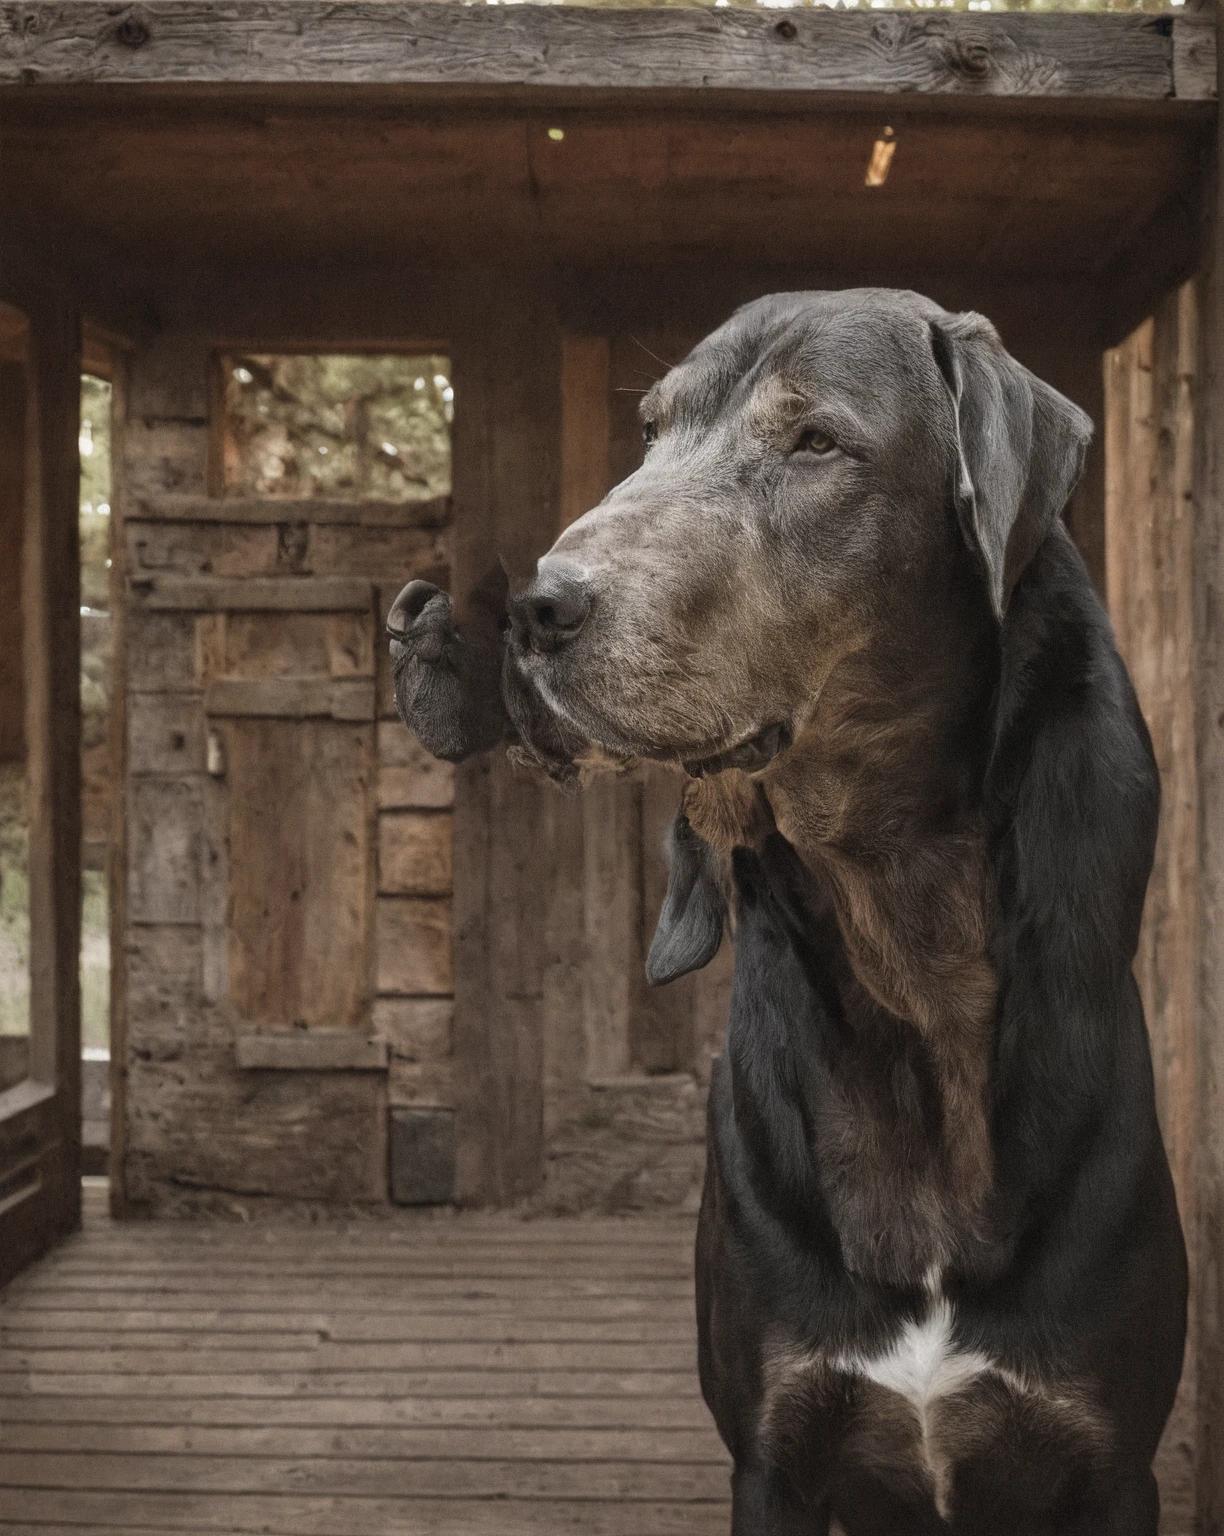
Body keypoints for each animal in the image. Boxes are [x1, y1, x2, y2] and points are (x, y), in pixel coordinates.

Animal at [388, 290, 1185, 1536]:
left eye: (814, 443)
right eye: (652, 432)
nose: (529, 609)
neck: (905, 948)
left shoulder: (1112, 1464)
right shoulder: (771, 1453)